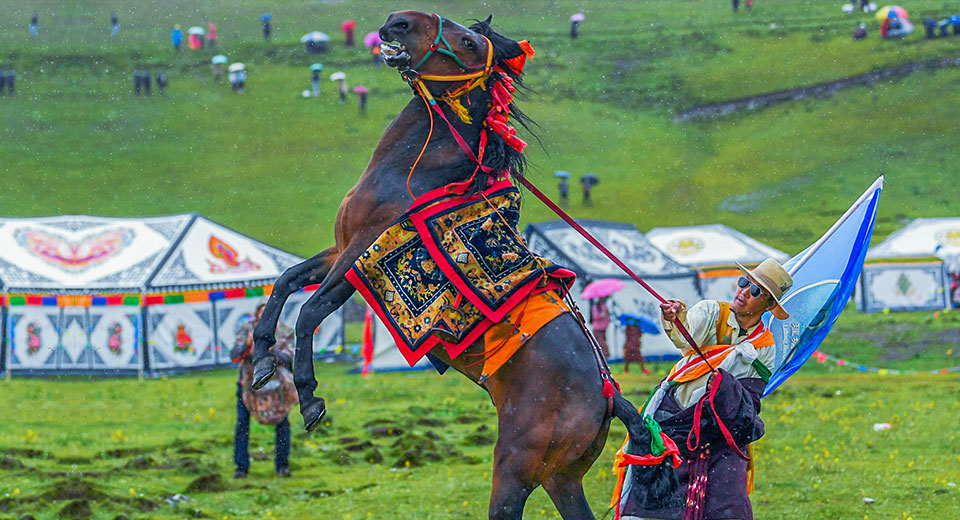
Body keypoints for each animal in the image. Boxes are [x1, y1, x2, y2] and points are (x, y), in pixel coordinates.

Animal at [251, 10, 648, 516]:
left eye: (468, 42)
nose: (397, 21)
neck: (412, 172)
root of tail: (610, 397)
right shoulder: (340, 251)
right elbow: (284, 282)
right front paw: (262, 360)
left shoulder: (359, 260)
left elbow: (310, 312)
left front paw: (309, 398)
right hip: (561, 480)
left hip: (514, 474)